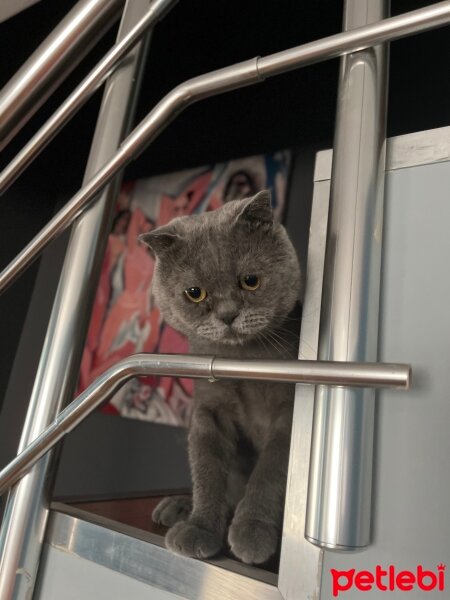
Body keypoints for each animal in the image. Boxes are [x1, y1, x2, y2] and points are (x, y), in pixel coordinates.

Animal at [141, 190, 302, 564]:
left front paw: (252, 532)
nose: (228, 315)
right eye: (194, 292)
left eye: (250, 281)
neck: (242, 361)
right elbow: (208, 470)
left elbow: (270, 473)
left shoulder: (288, 414)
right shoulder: (208, 409)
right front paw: (199, 527)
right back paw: (178, 507)